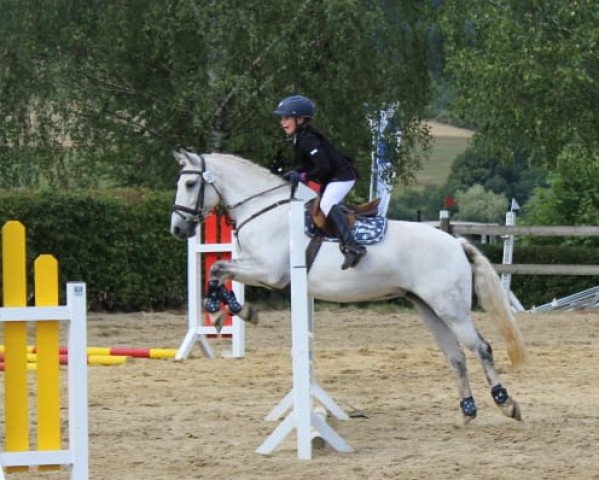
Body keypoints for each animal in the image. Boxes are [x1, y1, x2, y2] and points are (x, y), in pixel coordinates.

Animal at [171, 148, 528, 422]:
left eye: (189, 183)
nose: (177, 228)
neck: (263, 209)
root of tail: (456, 242)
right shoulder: (258, 268)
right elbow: (219, 270)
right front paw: (227, 311)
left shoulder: (270, 271)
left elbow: (218, 267)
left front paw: (226, 311)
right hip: (429, 308)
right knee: (456, 356)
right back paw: (468, 410)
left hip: (451, 309)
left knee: (481, 348)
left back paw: (506, 403)